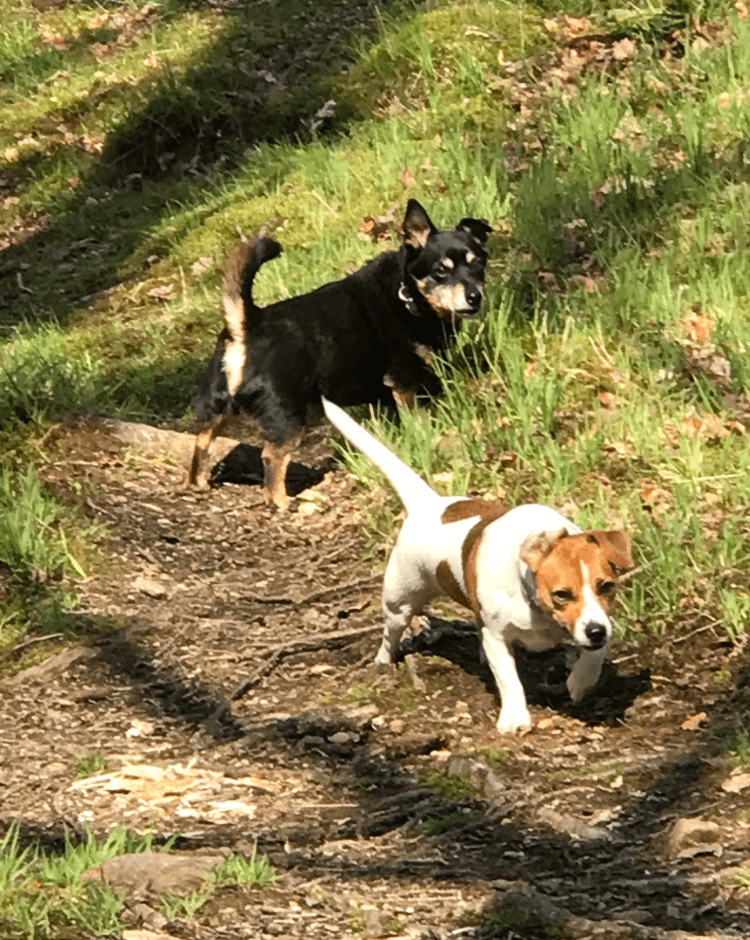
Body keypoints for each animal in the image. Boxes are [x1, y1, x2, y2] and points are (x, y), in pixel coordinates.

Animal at [191, 198, 494, 506]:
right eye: (440, 271)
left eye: (478, 265)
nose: (475, 296)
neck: (408, 296)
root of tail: (248, 323)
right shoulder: (404, 381)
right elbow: (416, 420)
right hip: (288, 414)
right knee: (272, 458)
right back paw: (283, 501)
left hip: (217, 406)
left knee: (202, 440)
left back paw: (198, 484)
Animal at [324, 398, 636, 736]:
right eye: (562, 594)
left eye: (607, 586)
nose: (595, 631)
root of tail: (429, 505)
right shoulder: (497, 636)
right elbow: (509, 679)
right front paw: (515, 718)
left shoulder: (601, 620)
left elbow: (597, 654)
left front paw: (580, 680)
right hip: (400, 601)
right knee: (390, 634)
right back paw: (384, 661)